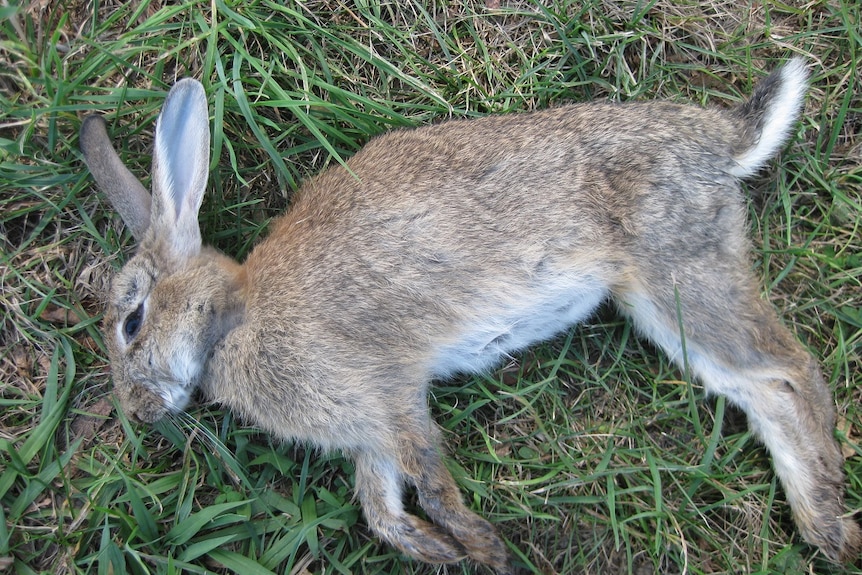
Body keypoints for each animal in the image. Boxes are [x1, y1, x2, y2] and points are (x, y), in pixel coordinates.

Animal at [77, 56, 860, 572]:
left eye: (131, 322)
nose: (138, 412)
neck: (232, 318)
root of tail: (719, 144)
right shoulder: (369, 434)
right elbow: (382, 510)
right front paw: (439, 550)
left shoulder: (388, 394)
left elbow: (430, 478)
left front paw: (488, 550)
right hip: (659, 306)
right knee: (759, 389)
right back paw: (821, 523)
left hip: (680, 272)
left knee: (790, 372)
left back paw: (831, 525)